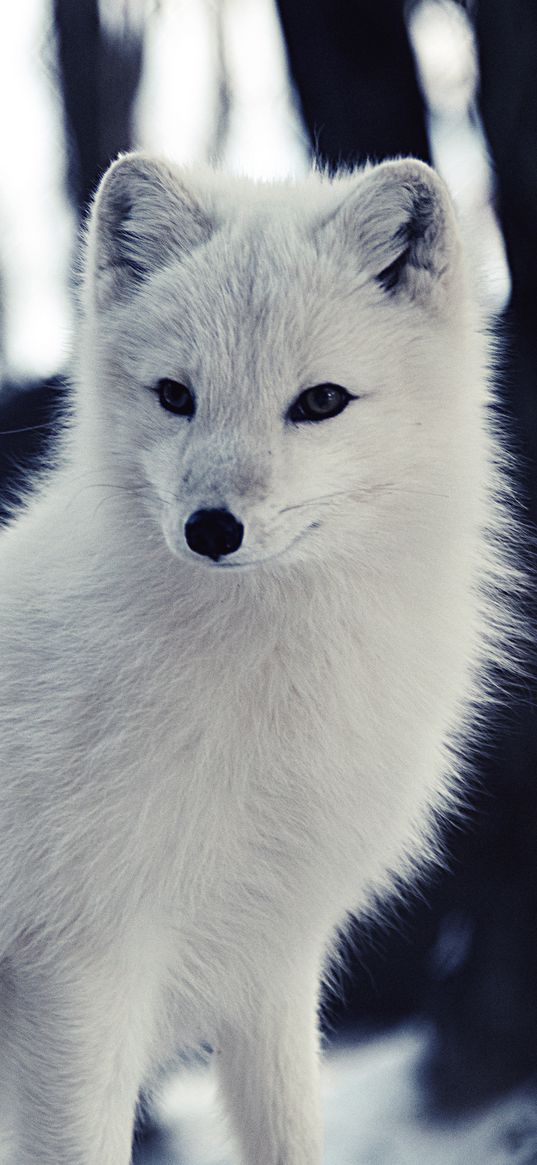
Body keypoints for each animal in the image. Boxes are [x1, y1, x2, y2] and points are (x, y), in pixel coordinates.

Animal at [0, 154, 510, 1165]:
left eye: (320, 401)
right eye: (174, 395)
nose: (211, 528)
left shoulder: (272, 961)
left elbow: (290, 1137)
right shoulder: (80, 968)